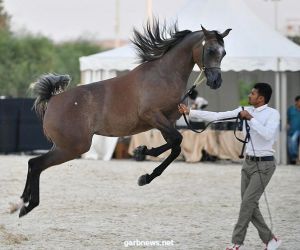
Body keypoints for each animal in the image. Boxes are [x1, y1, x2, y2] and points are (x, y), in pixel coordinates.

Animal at [15, 21, 232, 217]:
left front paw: (144, 164)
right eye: (210, 50)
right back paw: (27, 205)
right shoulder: (153, 116)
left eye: (224, 53)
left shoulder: (165, 122)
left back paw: (22, 201)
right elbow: (177, 141)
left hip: (65, 147)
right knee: (36, 164)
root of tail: (53, 99)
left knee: (33, 164)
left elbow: (174, 146)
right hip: (73, 147)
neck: (163, 75)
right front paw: (142, 158)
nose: (216, 82)